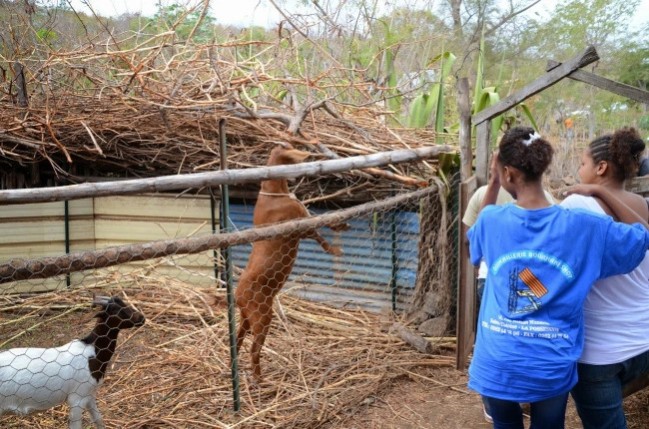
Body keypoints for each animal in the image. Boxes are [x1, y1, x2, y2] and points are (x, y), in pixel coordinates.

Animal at [0, 294, 144, 428]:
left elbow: (98, 419)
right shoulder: (77, 399)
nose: (141, 318)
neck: (92, 353)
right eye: (117, 310)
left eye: (123, 303)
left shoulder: (89, 394)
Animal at [234, 143, 350, 382]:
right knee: (254, 349)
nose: (312, 155)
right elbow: (319, 230)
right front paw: (335, 248)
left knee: (237, 341)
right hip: (262, 316)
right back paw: (259, 379)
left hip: (246, 317)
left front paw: (340, 225)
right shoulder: (299, 226)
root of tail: (237, 295)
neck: (274, 195)